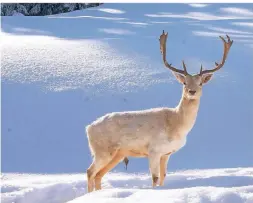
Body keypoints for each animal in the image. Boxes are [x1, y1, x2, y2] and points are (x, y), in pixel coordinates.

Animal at [85, 29, 233, 192]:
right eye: (184, 82)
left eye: (200, 83)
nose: (192, 91)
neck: (177, 126)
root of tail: (88, 128)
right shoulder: (153, 150)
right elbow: (155, 178)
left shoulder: (166, 153)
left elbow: (163, 176)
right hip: (103, 150)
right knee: (90, 172)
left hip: (117, 153)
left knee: (99, 175)